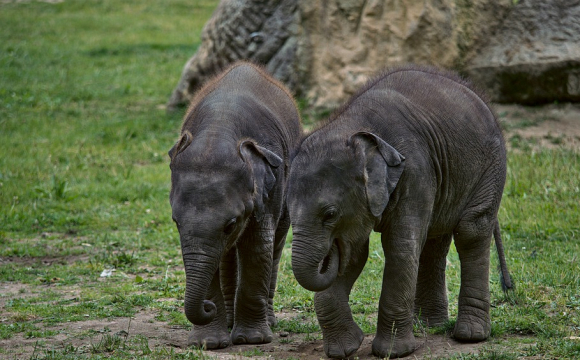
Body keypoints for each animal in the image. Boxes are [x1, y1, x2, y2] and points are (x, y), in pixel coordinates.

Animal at [168, 61, 302, 348]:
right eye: (176, 222)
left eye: (230, 224)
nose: (206, 307)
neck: (219, 129)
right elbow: (210, 255)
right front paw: (208, 343)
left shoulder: (271, 187)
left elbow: (258, 247)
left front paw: (253, 340)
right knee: (227, 256)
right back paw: (229, 321)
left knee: (275, 244)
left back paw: (268, 322)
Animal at [288, 65, 516, 360]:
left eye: (330, 214)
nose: (329, 252)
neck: (352, 127)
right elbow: (356, 253)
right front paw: (344, 349)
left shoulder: (415, 172)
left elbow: (399, 247)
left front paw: (393, 352)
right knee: (434, 241)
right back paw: (430, 325)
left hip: (491, 166)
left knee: (471, 231)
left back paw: (470, 336)